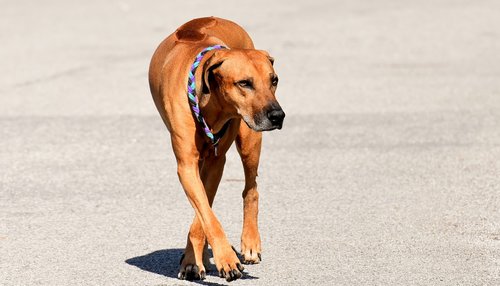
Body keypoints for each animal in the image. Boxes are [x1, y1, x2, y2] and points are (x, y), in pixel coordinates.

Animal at [147, 16, 286, 282]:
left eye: (273, 80)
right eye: (244, 83)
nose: (278, 116)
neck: (211, 103)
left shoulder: (215, 162)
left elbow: (204, 215)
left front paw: (195, 259)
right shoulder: (187, 165)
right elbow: (206, 214)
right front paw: (201, 260)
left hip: (250, 140)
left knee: (251, 189)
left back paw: (250, 242)